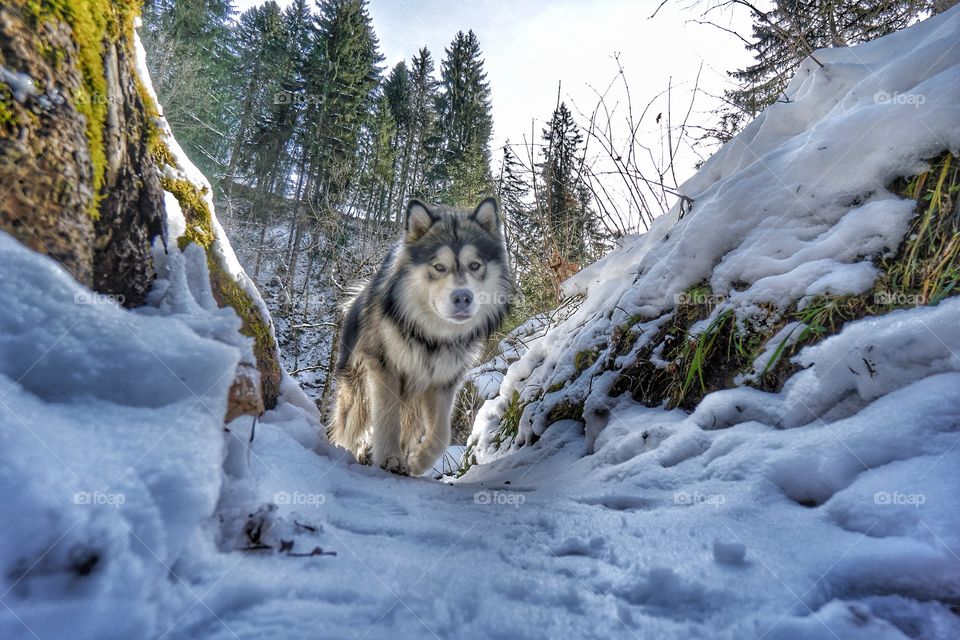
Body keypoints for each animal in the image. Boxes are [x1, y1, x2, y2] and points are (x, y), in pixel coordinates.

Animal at [328, 197, 514, 476]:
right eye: (439, 267)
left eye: (475, 266)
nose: (462, 297)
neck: (432, 337)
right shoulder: (384, 369)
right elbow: (387, 421)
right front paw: (390, 458)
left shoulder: (443, 382)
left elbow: (441, 435)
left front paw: (417, 462)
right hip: (357, 390)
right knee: (351, 427)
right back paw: (347, 451)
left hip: (413, 404)